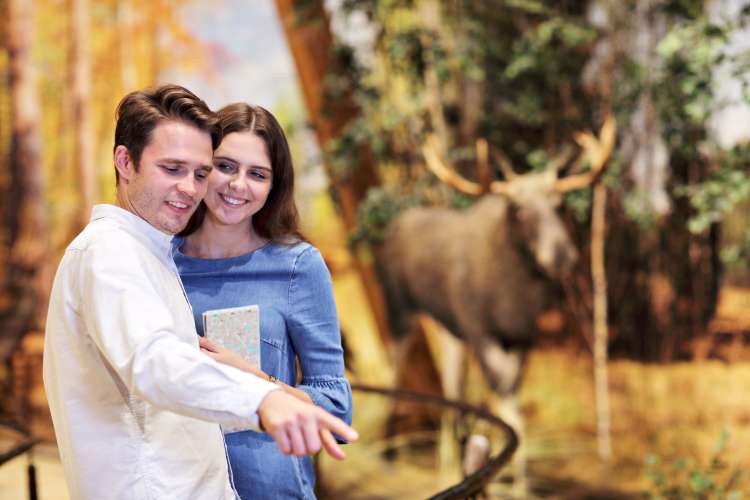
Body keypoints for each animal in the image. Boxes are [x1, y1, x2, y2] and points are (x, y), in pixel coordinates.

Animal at [382, 116, 616, 492]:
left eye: (560, 204)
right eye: (519, 210)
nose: (561, 255)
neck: (515, 297)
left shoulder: (522, 336)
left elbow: (513, 401)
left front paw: (518, 481)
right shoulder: (480, 330)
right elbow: (503, 397)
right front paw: (512, 480)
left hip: (448, 326)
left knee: (452, 382)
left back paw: (448, 461)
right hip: (399, 308)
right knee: (394, 367)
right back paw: (390, 455)